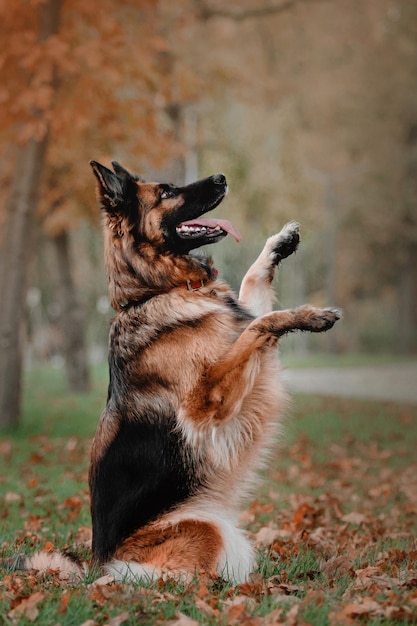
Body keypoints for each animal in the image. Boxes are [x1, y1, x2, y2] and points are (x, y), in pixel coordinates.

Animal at [9, 161, 340, 580]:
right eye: (166, 192)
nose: (221, 178)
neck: (155, 291)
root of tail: (97, 566)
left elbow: (251, 296)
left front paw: (278, 244)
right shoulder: (204, 404)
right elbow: (257, 324)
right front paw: (309, 314)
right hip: (206, 528)